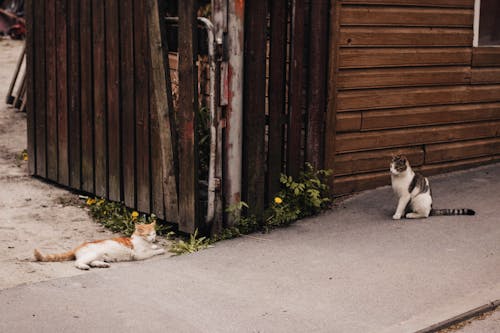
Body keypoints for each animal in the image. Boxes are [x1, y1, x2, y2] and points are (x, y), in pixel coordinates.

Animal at [33, 220, 166, 270]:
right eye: (148, 234)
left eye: (154, 233)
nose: (154, 238)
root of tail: (78, 247)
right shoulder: (138, 255)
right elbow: (151, 252)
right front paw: (159, 250)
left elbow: (151, 248)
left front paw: (155, 246)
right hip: (92, 253)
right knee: (78, 262)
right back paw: (84, 267)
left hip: (98, 256)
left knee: (92, 262)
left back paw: (102, 264)